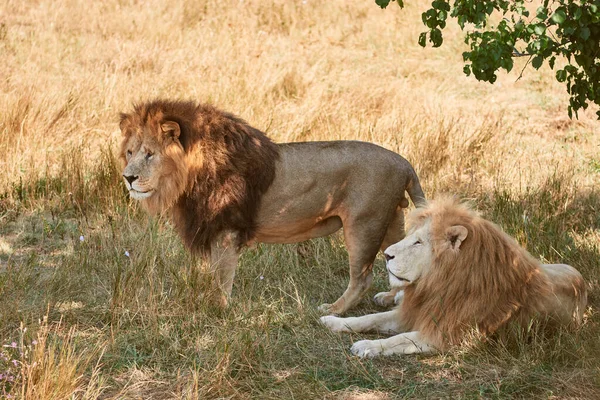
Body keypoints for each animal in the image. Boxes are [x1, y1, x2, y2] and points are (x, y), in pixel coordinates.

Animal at [118, 98, 426, 314]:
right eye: (130, 153)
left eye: (150, 154)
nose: (127, 178)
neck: (190, 175)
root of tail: (403, 162)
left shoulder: (226, 229)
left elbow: (221, 275)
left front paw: (218, 308)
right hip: (391, 219)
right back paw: (390, 297)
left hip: (364, 223)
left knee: (362, 277)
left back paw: (335, 309)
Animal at [322, 197, 588, 356]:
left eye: (418, 242)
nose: (386, 255)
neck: (436, 286)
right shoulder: (416, 312)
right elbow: (368, 319)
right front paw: (332, 321)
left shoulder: (444, 335)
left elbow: (398, 339)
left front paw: (366, 346)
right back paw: (388, 296)